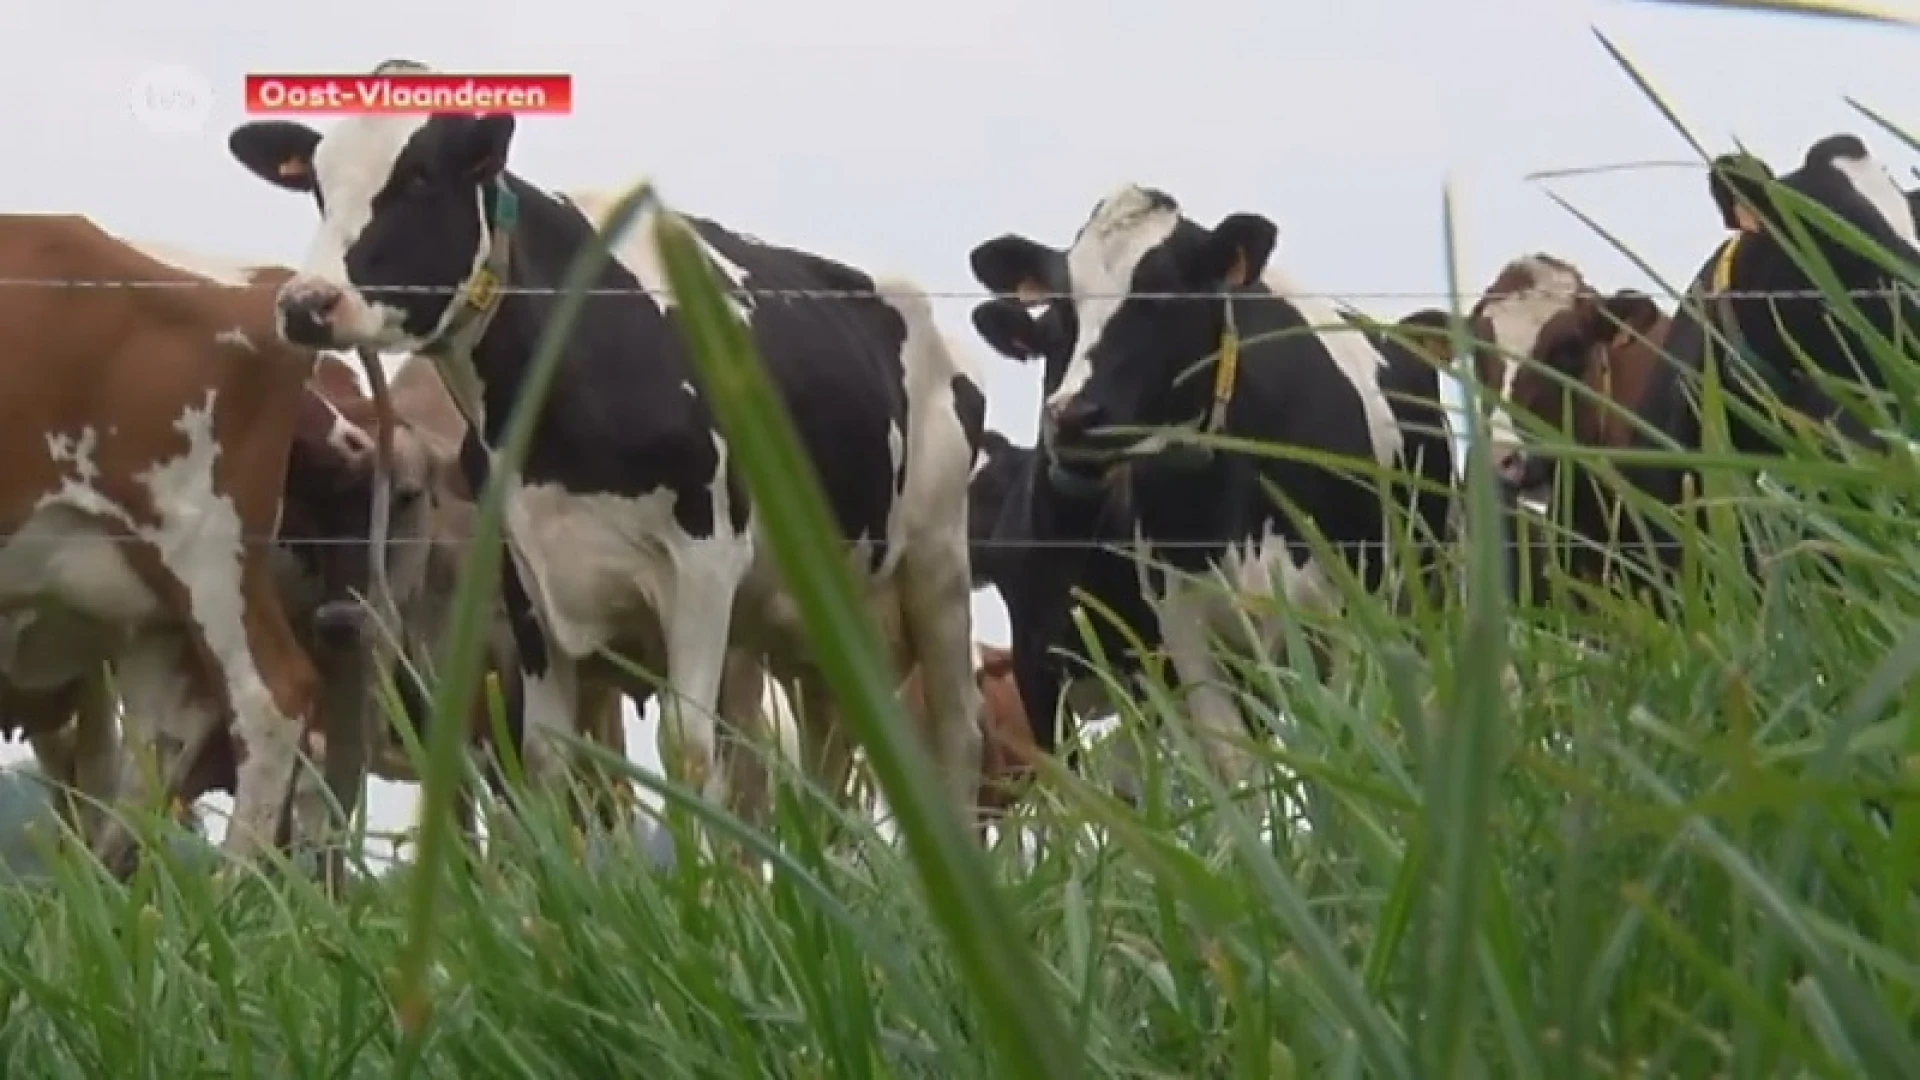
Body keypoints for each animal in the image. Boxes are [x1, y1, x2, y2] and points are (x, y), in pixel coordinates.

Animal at [228, 61, 990, 822]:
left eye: (418, 177)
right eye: (318, 185)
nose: (306, 304)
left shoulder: (707, 558)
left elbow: (687, 748)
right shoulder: (526, 574)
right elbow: (546, 756)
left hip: (938, 565)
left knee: (957, 740)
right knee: (833, 751)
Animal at [967, 184, 1443, 791]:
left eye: (1164, 294)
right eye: (1064, 311)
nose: (1071, 416)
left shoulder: (1341, 617)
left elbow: (1340, 748)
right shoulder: (1178, 633)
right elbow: (1233, 766)